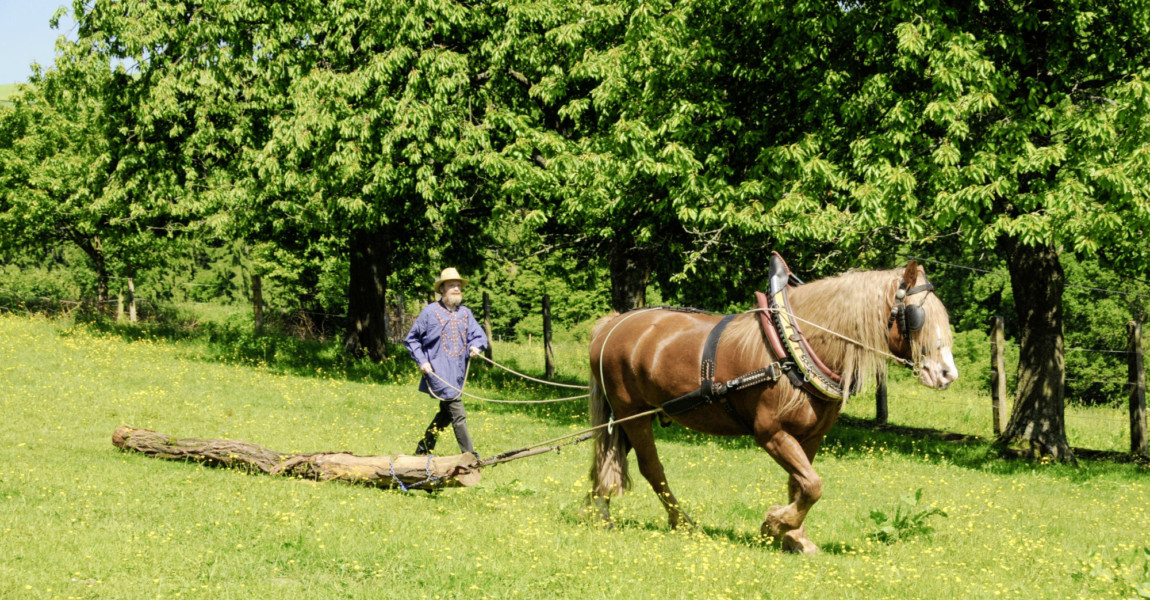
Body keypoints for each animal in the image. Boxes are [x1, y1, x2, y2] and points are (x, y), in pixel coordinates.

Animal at [588, 256, 956, 551]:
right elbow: (813, 485)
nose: (947, 373)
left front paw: (795, 538)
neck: (795, 349)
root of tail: (611, 323)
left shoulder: (811, 436)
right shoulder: (770, 433)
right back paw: (681, 522)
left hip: (636, 416)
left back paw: (599, 509)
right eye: (918, 316)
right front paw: (774, 525)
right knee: (650, 467)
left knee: (611, 457)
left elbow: (800, 485)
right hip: (632, 414)